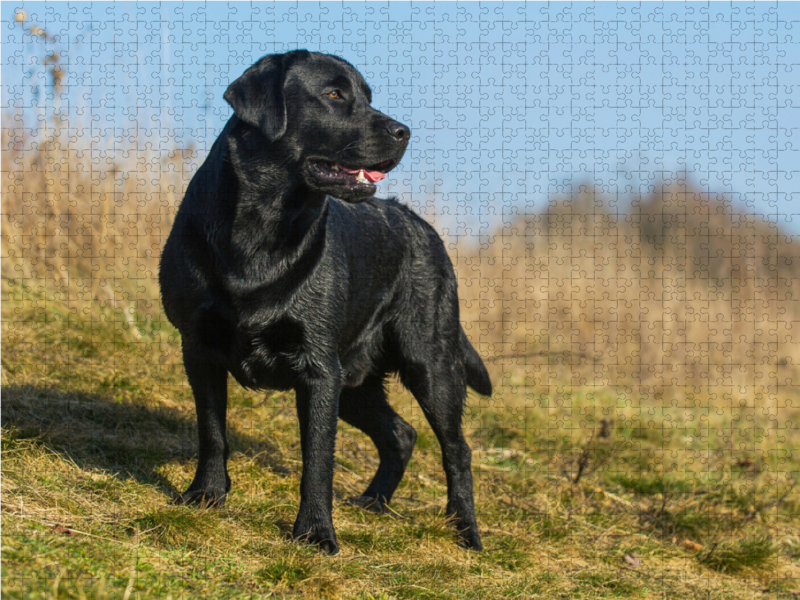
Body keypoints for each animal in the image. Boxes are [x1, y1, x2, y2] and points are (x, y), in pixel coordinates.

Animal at [159, 50, 490, 552]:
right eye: (334, 94)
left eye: (368, 97)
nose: (404, 131)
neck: (262, 229)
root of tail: (422, 226)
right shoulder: (199, 349)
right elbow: (212, 432)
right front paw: (206, 495)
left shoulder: (317, 369)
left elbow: (318, 459)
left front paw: (315, 532)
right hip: (353, 380)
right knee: (401, 433)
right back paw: (374, 501)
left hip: (428, 363)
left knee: (457, 449)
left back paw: (465, 530)